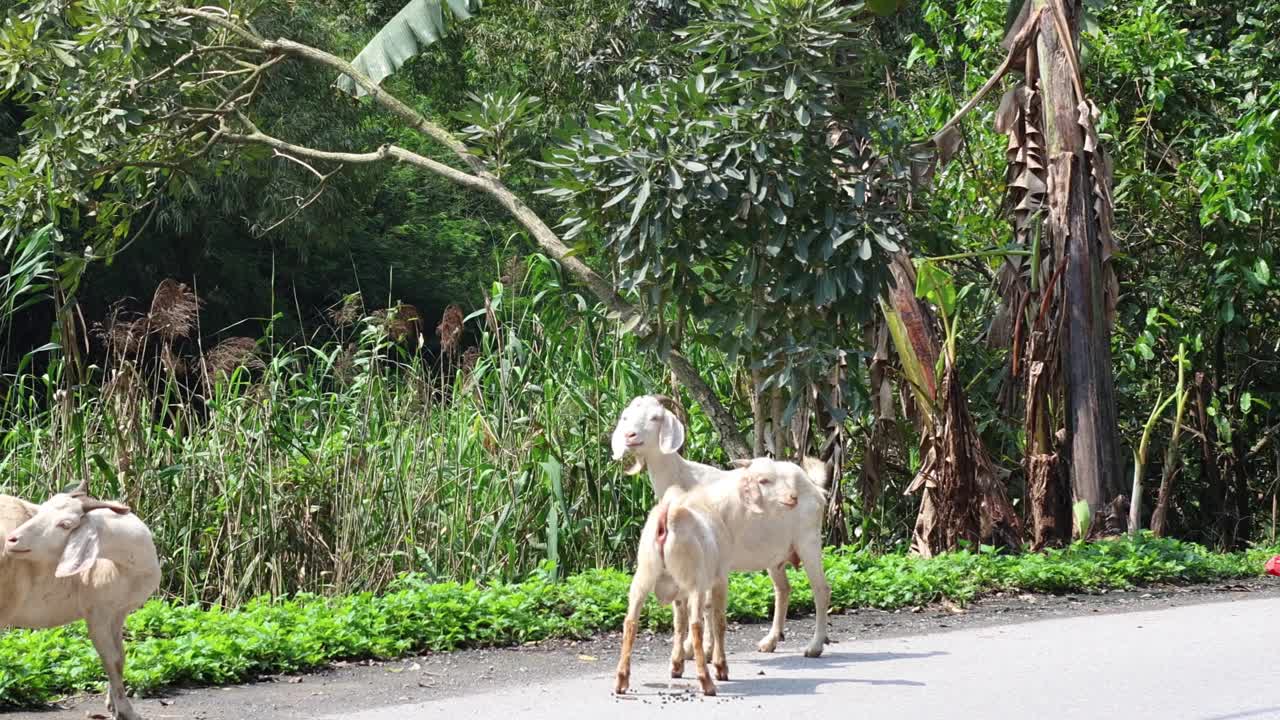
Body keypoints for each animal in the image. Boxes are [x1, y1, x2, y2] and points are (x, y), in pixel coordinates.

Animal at [1, 481, 161, 717]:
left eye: (65, 524)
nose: (12, 540)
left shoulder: (118, 612)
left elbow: (121, 657)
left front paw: (112, 705)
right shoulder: (97, 612)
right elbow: (112, 660)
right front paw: (126, 711)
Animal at [616, 453, 834, 696]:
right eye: (763, 480)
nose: (792, 498)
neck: (718, 507)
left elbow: (686, 621)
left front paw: (683, 661)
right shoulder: (717, 576)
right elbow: (712, 619)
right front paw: (711, 663)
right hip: (787, 551)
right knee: (799, 589)